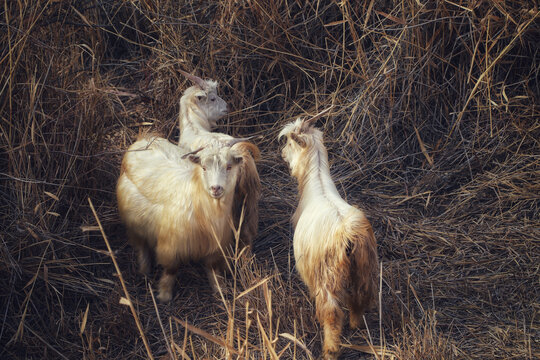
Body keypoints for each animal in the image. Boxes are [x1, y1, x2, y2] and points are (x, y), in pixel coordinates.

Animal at [116, 134, 260, 300]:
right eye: (204, 167)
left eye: (229, 167)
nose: (215, 188)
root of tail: (144, 140)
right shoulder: (171, 245)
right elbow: (171, 270)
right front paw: (164, 295)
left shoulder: (215, 245)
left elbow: (212, 268)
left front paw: (220, 289)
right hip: (134, 223)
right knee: (141, 246)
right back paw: (144, 270)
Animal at [280, 116, 378, 358]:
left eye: (289, 143)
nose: (283, 155)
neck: (317, 182)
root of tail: (349, 236)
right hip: (364, 268)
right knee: (361, 296)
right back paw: (356, 324)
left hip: (327, 276)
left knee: (332, 313)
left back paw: (330, 350)